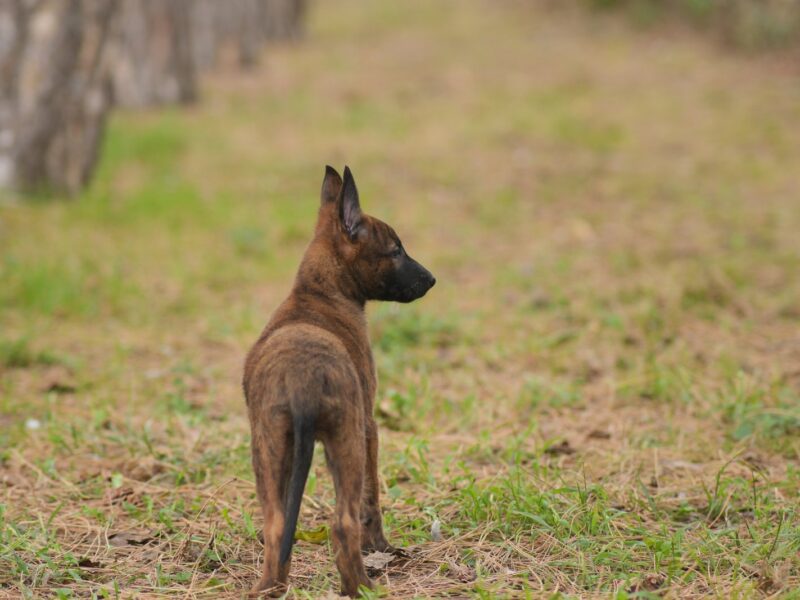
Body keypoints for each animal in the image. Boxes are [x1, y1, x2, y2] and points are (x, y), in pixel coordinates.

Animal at [242, 164, 434, 596]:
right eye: (396, 250)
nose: (431, 279)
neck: (317, 293)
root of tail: (300, 382)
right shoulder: (369, 426)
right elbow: (371, 501)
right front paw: (381, 547)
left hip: (268, 447)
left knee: (276, 525)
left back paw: (270, 588)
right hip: (346, 443)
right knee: (344, 523)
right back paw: (363, 587)